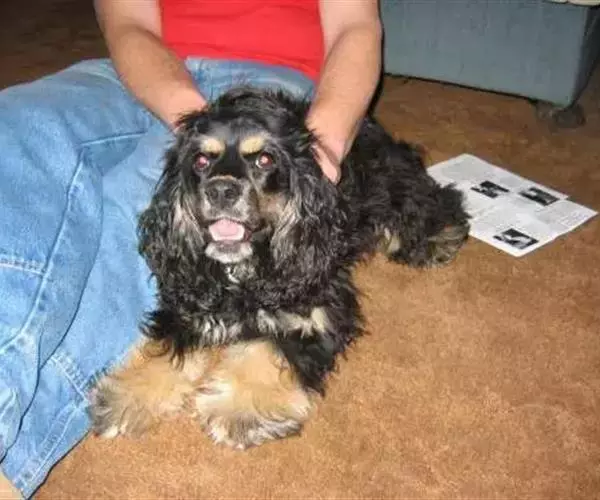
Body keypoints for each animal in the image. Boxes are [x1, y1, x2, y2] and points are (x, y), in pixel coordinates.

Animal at [89, 86, 470, 449]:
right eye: (200, 160)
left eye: (264, 159)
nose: (221, 190)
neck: (244, 270)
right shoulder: (190, 296)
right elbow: (168, 344)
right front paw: (127, 395)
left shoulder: (313, 301)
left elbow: (267, 347)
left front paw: (239, 410)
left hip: (392, 184)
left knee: (433, 201)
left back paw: (437, 240)